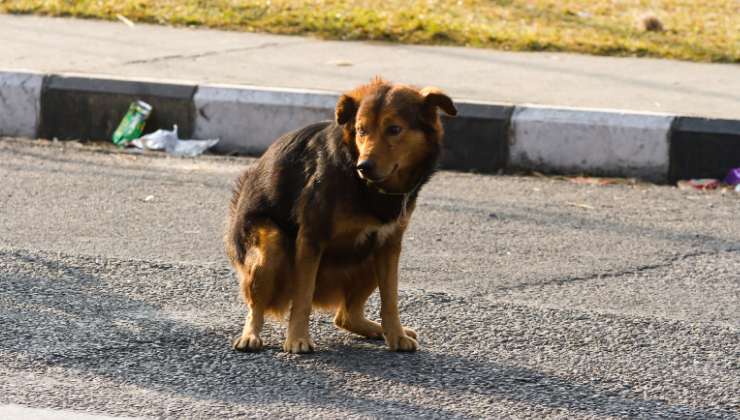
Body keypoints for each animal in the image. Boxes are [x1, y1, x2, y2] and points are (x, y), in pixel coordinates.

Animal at [225, 78, 457, 353]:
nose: (363, 167)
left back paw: (377, 330)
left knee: (346, 316)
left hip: (369, 256)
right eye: (361, 130)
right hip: (270, 245)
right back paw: (250, 335)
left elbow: (390, 299)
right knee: (258, 304)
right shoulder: (311, 237)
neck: (366, 187)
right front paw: (297, 338)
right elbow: (302, 297)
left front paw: (396, 334)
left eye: (394, 129)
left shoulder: (389, 245)